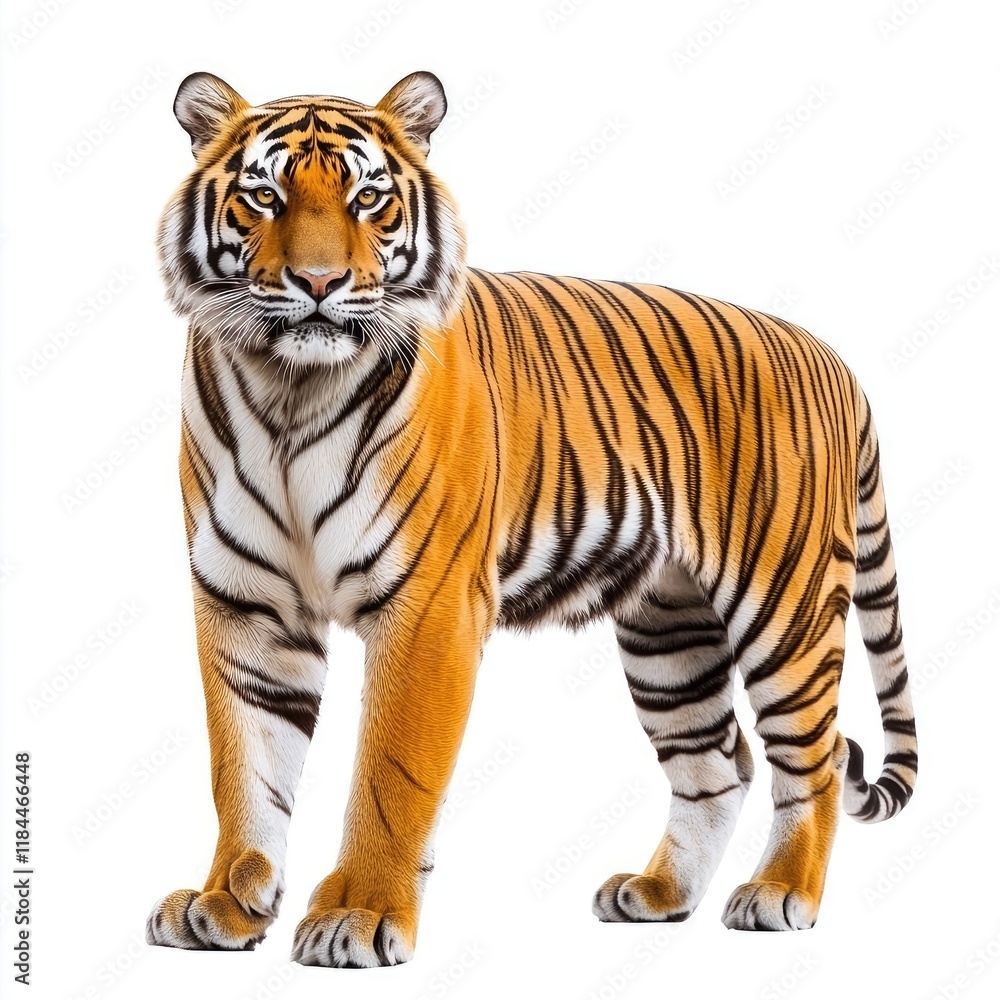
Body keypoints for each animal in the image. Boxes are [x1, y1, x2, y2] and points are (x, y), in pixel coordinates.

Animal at [145, 71, 917, 968]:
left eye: (369, 198)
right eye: (262, 196)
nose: (317, 282)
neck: (289, 393)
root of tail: (831, 357)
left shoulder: (428, 607)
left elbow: (390, 775)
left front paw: (359, 915)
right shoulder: (246, 605)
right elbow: (244, 767)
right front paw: (225, 902)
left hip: (785, 607)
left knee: (815, 759)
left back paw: (781, 893)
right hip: (669, 632)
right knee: (718, 763)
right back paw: (659, 895)